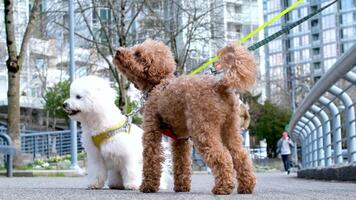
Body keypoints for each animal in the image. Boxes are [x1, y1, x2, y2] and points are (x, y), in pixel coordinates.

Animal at [113, 39, 256, 195]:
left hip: (203, 129)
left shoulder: (152, 131)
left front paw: (148, 186)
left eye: (138, 54)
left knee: (222, 156)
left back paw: (223, 187)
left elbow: (152, 157)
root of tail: (219, 85)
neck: (159, 84)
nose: (117, 51)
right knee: (240, 155)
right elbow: (181, 161)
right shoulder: (180, 139)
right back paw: (246, 186)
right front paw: (182, 187)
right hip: (230, 128)